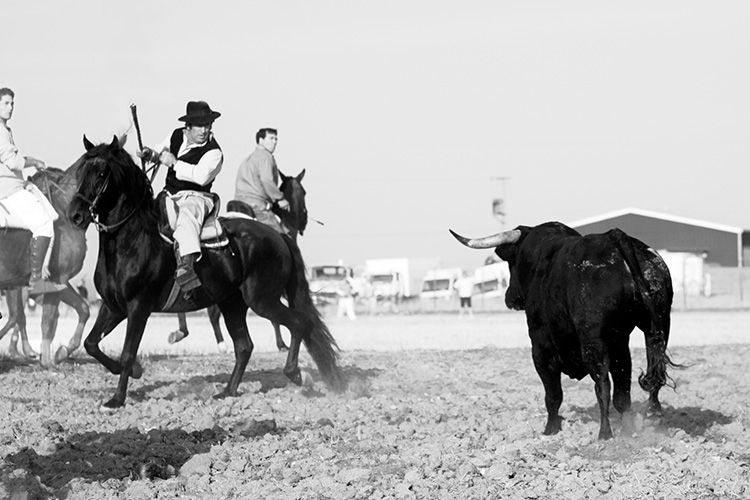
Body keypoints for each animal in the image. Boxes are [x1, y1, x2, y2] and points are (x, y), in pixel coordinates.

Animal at [0, 167, 90, 367]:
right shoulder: (53, 281)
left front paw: (62, 352)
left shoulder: (59, 282)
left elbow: (83, 308)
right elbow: (46, 321)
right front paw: (47, 361)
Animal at [450, 222, 675, 439]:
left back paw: (605, 434)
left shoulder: (541, 348)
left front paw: (550, 429)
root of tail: (614, 236)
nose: (509, 297)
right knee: (639, 381)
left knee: (602, 384)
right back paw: (641, 422)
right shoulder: (618, 342)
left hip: (594, 340)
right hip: (655, 328)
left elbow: (553, 394)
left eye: (511, 263)